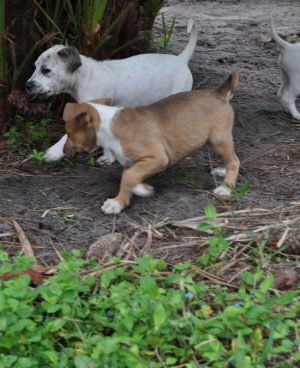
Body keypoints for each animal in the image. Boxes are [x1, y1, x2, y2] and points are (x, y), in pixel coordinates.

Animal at [27, 19, 198, 162]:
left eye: (46, 70)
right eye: (35, 67)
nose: (27, 85)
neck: (85, 77)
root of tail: (181, 59)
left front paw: (53, 152)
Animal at [62, 71, 239, 214]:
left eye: (68, 133)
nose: (64, 151)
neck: (108, 126)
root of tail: (218, 92)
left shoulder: (157, 158)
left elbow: (128, 177)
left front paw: (142, 190)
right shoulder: (130, 162)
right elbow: (127, 179)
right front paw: (118, 203)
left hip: (219, 139)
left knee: (234, 161)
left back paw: (226, 187)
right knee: (230, 158)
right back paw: (222, 171)